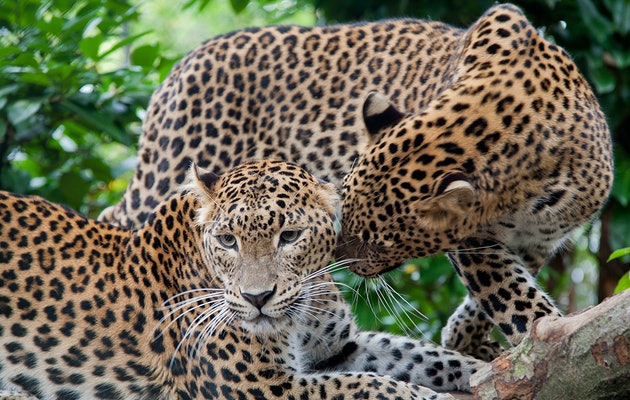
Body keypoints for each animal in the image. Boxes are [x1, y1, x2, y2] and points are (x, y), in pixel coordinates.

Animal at [1, 159, 484, 400]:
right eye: (227, 240)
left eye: (289, 236)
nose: (257, 298)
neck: (300, 312)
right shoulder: (264, 388)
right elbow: (368, 386)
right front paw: (430, 398)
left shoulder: (339, 348)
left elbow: (422, 355)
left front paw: (480, 370)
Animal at [96, 3, 616, 360]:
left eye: (379, 241)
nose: (336, 262)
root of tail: (182, 66)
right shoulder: (474, 241)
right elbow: (507, 292)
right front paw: (545, 341)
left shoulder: (537, 239)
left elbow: (500, 290)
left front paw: (467, 337)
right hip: (176, 174)